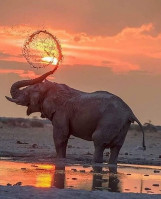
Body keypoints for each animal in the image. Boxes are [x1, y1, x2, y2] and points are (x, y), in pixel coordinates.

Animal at [5, 69, 145, 165]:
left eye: (28, 93)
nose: (53, 69)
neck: (52, 88)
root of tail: (130, 112)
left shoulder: (61, 112)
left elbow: (60, 136)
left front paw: (59, 160)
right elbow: (64, 137)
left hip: (110, 121)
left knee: (99, 141)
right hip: (122, 125)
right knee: (116, 148)